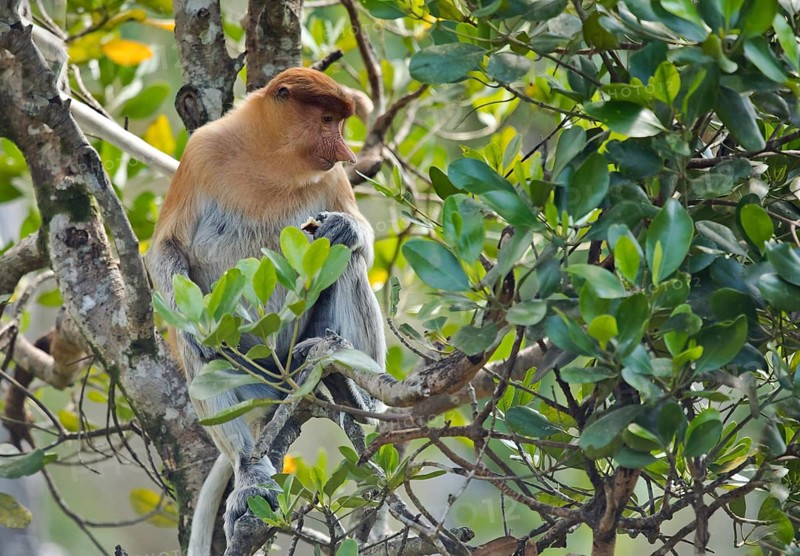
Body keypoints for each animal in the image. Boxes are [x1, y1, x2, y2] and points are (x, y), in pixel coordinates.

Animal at [145, 67, 386, 546]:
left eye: (340, 122)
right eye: (328, 119)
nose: (346, 152)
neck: (270, 161)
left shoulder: (331, 180)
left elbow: (357, 239)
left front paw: (343, 226)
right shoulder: (200, 153)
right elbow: (167, 249)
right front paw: (203, 328)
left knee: (346, 263)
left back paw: (356, 395)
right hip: (248, 376)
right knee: (199, 354)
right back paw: (250, 475)